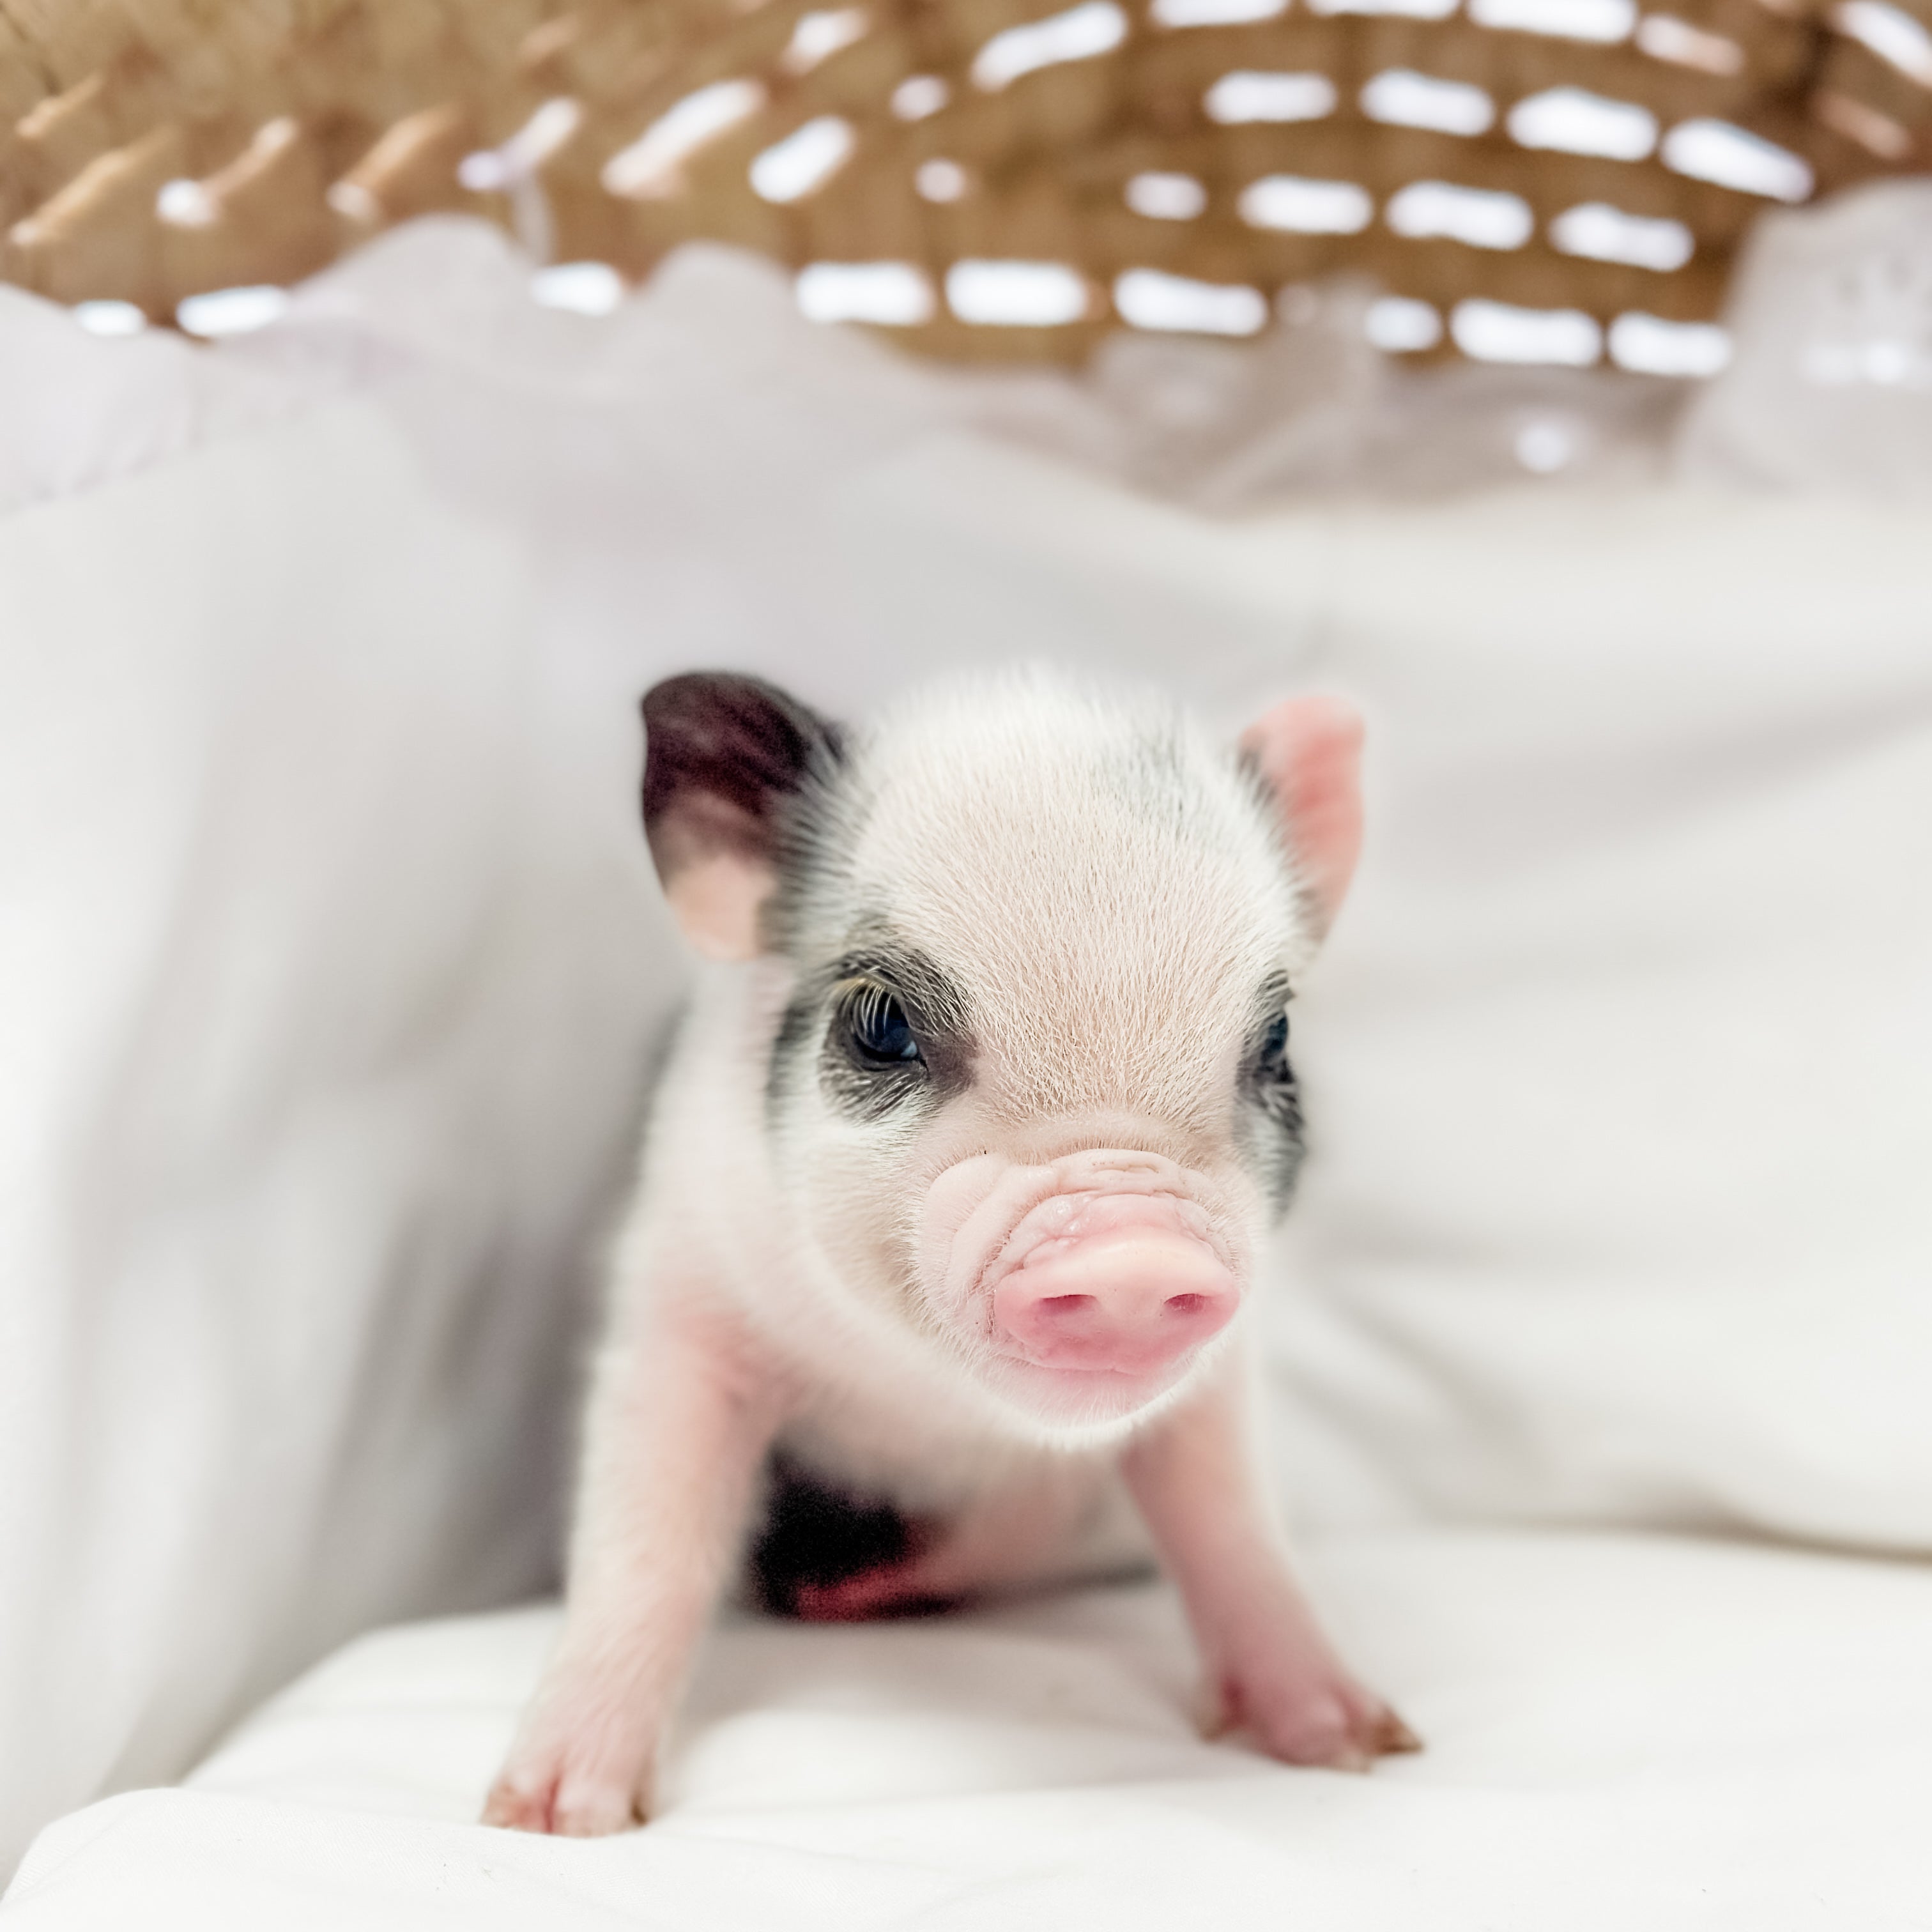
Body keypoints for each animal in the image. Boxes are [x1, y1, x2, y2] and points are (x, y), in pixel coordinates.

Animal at [483, 665, 1416, 1836]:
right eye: (880, 1022)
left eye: (1277, 1042)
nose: (1132, 1256)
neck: (926, 1411)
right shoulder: (680, 1295)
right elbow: (646, 1536)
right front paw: (547, 1816)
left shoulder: (1215, 1389)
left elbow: (1235, 1529)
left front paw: (1356, 1745)